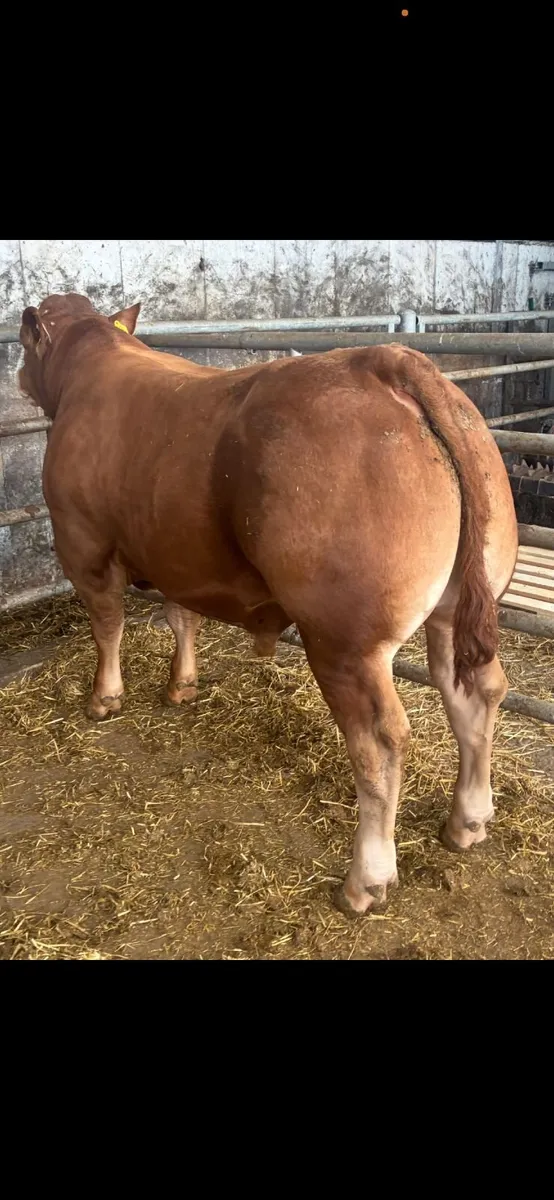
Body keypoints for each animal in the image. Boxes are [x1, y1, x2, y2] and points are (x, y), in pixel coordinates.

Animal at [18, 293, 518, 917]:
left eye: (25, 343)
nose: (19, 377)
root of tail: (386, 361)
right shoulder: (176, 553)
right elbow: (182, 616)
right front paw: (181, 685)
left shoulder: (81, 542)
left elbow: (106, 624)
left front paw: (104, 697)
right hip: (455, 610)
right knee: (477, 693)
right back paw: (467, 821)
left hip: (344, 642)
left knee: (380, 742)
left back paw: (366, 879)